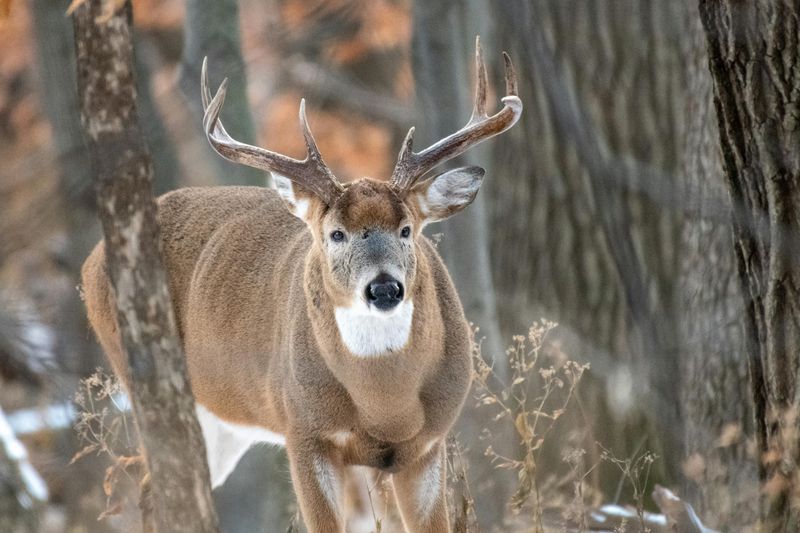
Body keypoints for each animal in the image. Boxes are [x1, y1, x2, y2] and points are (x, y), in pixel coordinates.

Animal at [80, 38, 522, 533]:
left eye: (407, 229)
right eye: (336, 234)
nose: (384, 289)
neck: (385, 405)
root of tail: (92, 260)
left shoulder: (428, 444)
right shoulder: (304, 432)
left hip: (222, 420)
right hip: (147, 379)